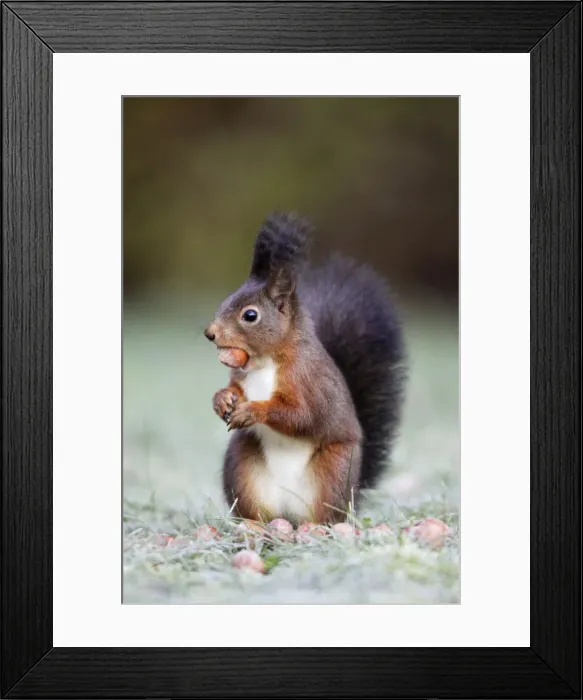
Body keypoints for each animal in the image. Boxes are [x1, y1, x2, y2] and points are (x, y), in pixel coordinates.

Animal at [204, 212, 406, 525]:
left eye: (250, 315)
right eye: (225, 300)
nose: (210, 333)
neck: (265, 361)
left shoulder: (308, 380)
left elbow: (302, 415)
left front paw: (253, 410)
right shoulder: (242, 376)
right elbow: (235, 388)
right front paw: (222, 398)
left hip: (333, 471)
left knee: (325, 515)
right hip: (243, 467)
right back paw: (254, 525)